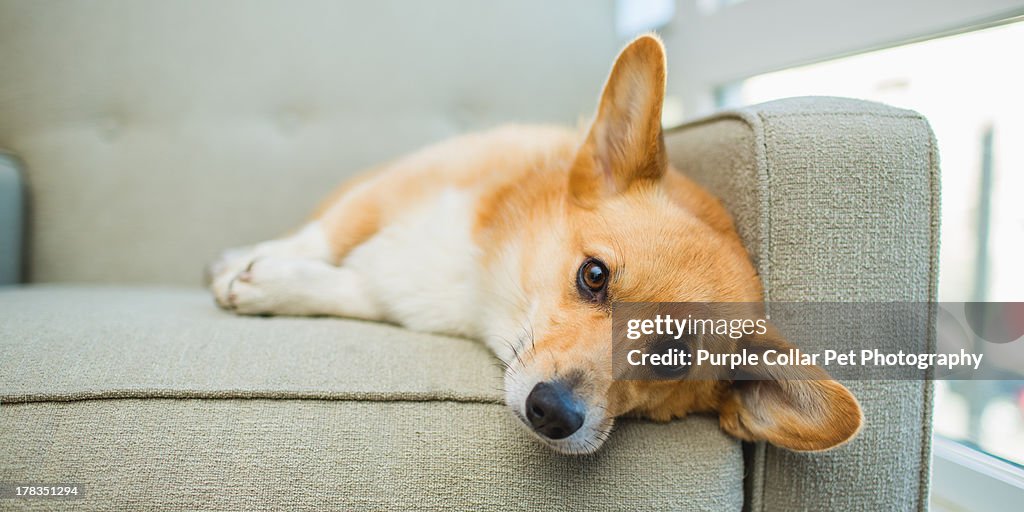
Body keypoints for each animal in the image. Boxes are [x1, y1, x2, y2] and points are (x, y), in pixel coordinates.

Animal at [209, 34, 864, 454]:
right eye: (594, 275)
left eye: (670, 359)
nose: (552, 414)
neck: (483, 278)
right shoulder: (396, 186)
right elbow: (322, 237)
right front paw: (254, 267)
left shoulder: (399, 294)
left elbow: (349, 287)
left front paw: (273, 285)